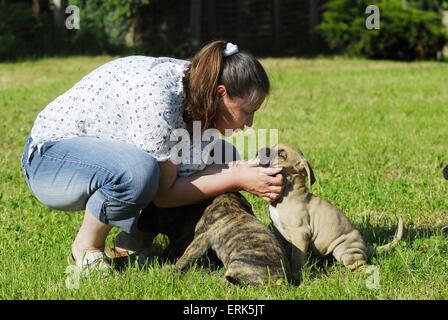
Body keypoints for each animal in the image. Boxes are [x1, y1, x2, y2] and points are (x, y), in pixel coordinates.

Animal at [256, 144, 402, 274]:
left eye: (281, 154)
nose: (261, 149)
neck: (288, 193)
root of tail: (366, 247)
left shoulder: (300, 234)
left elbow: (297, 259)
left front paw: (297, 276)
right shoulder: (280, 232)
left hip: (343, 250)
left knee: (361, 265)